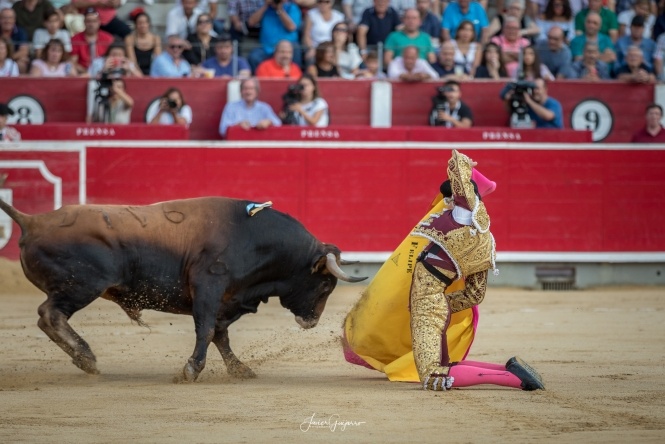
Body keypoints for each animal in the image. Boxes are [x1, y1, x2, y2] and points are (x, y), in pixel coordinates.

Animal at [0, 198, 364, 382]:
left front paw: (239, 369)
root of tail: (33, 221)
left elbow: (220, 335)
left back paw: (82, 358)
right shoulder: (208, 287)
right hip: (82, 285)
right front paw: (191, 370)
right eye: (326, 283)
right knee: (49, 314)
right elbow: (206, 331)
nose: (311, 321)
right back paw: (86, 357)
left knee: (48, 317)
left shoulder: (227, 299)